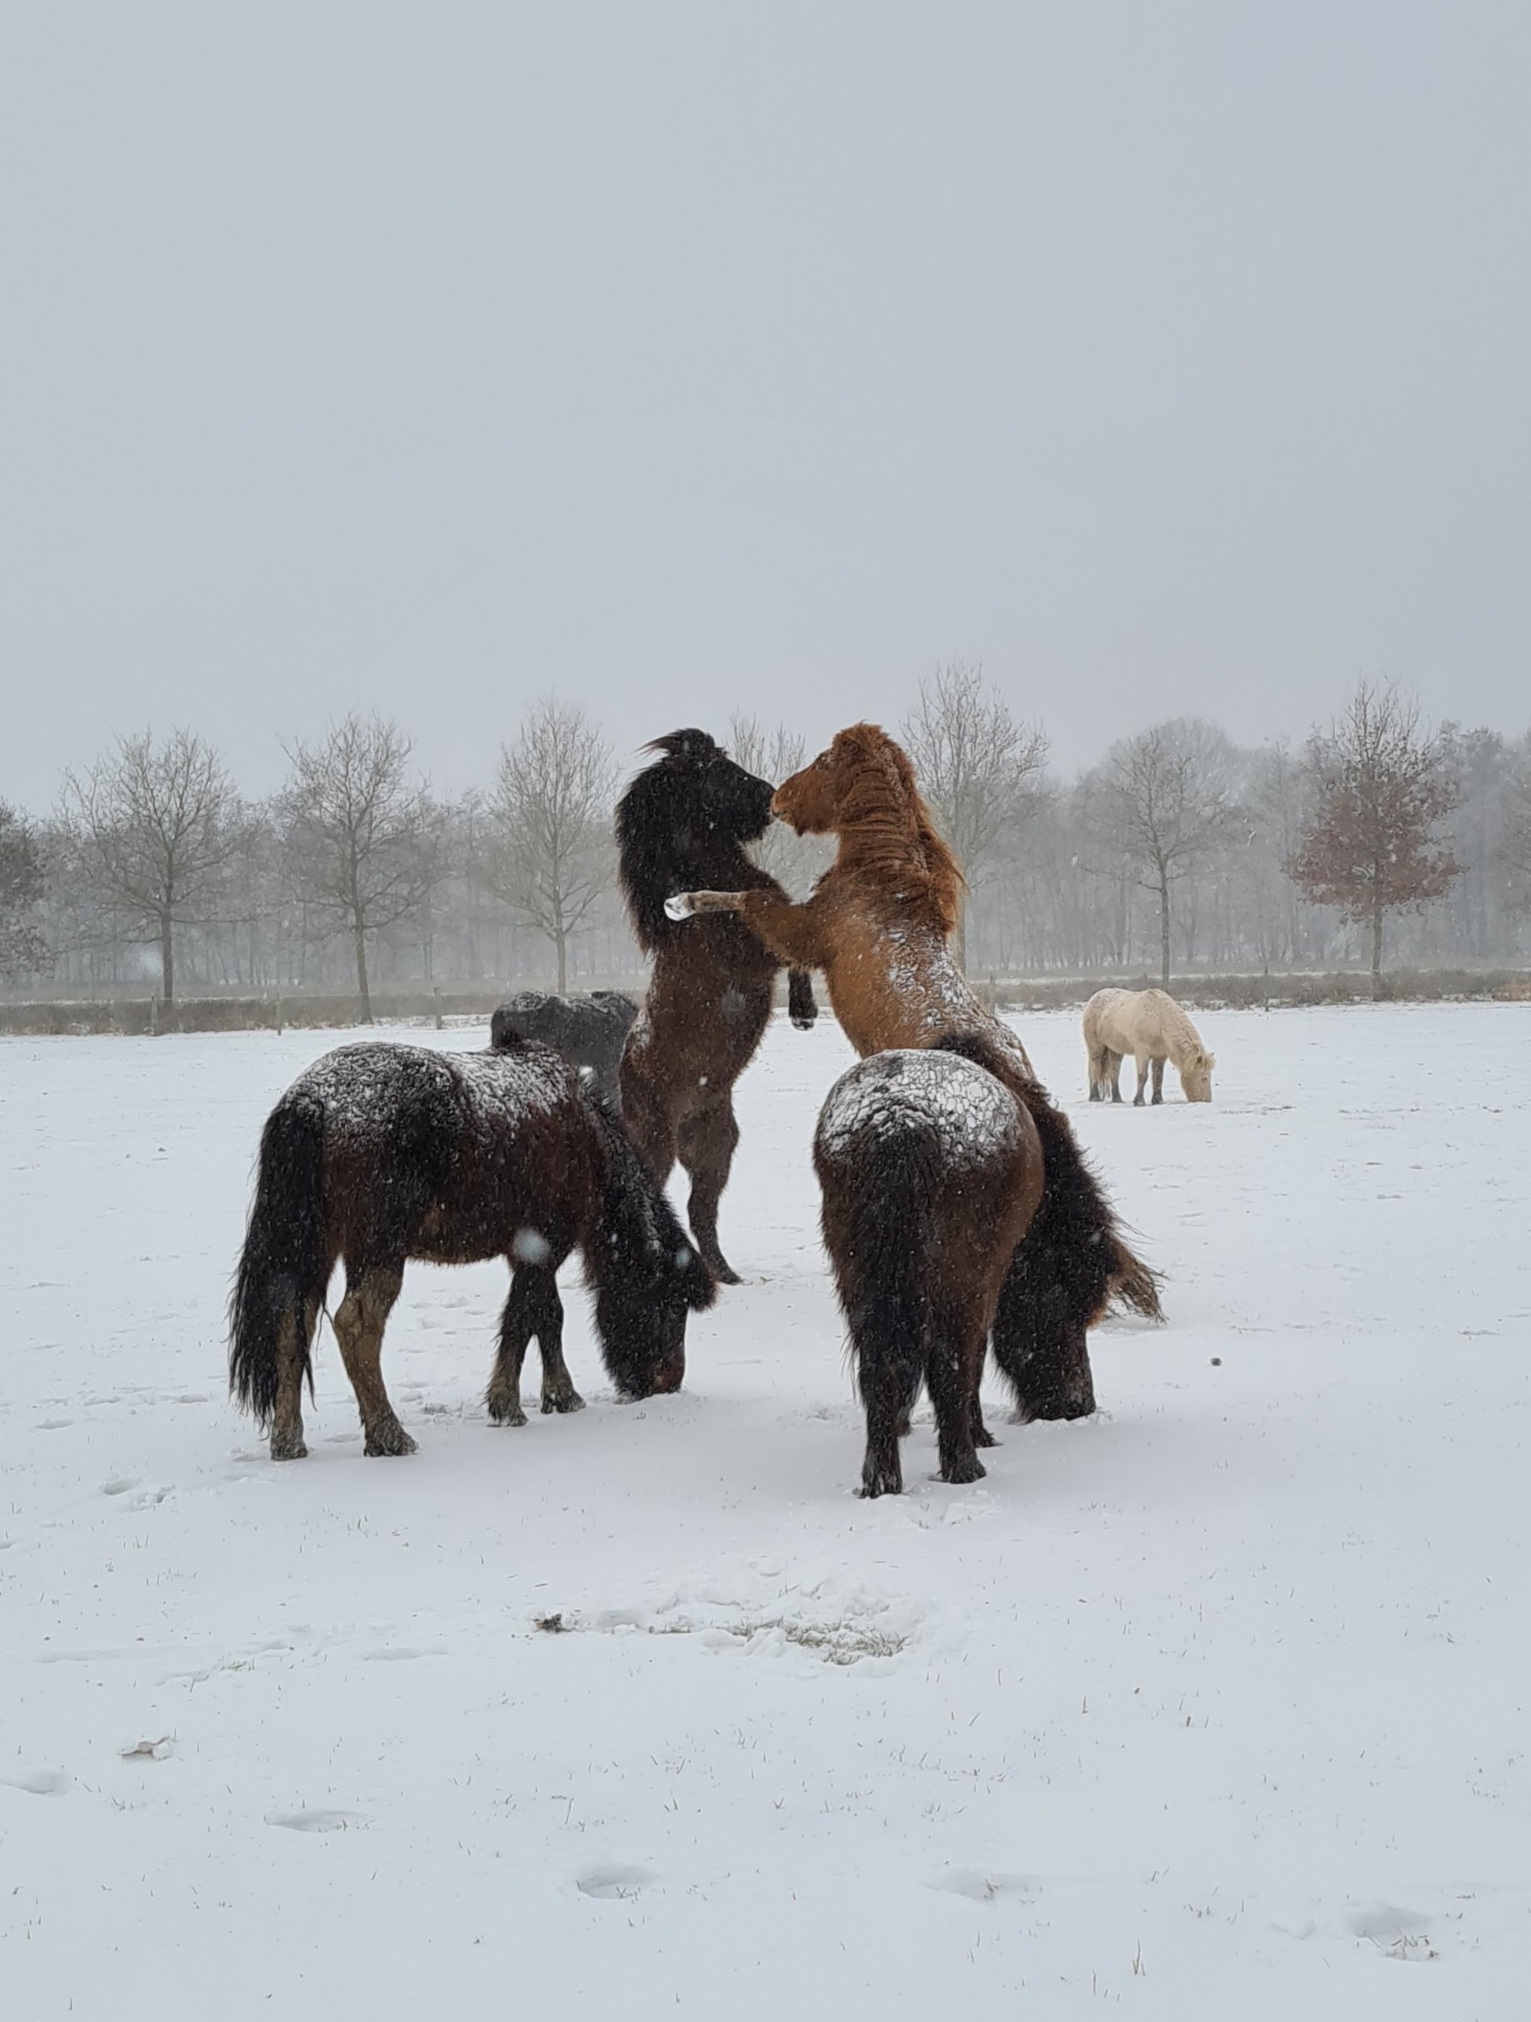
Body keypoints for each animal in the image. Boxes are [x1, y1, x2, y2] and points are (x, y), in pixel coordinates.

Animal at [228, 1043, 715, 1455]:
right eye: (671, 1306)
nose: (667, 1382)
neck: (585, 1137)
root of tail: (313, 1101)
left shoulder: (531, 1254)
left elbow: (547, 1316)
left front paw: (561, 1395)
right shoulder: (543, 1247)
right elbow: (522, 1318)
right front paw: (507, 1405)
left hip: (315, 1247)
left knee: (293, 1320)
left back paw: (288, 1440)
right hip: (379, 1250)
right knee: (355, 1325)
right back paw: (388, 1432)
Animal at [614, 727, 817, 1277]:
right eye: (719, 773)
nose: (769, 798)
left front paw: (804, 1012)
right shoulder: (754, 954)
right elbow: (795, 951)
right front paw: (804, 1013)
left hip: (715, 1146)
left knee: (699, 1210)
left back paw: (725, 1275)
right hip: (657, 1145)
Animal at [667, 723, 1156, 1374]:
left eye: (823, 761)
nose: (778, 800)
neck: (883, 884)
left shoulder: (805, 931)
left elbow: (748, 900)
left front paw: (683, 902)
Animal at [1084, 982, 1213, 1099]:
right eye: (1204, 1078)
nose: (1206, 1100)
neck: (1160, 1022)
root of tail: (1094, 998)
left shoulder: (1160, 1056)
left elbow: (1158, 1077)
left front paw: (1157, 1100)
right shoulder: (1142, 1052)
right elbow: (1143, 1075)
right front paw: (1139, 1101)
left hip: (1115, 1049)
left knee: (1114, 1071)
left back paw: (1117, 1099)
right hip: (1096, 1047)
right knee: (1096, 1068)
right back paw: (1095, 1097)